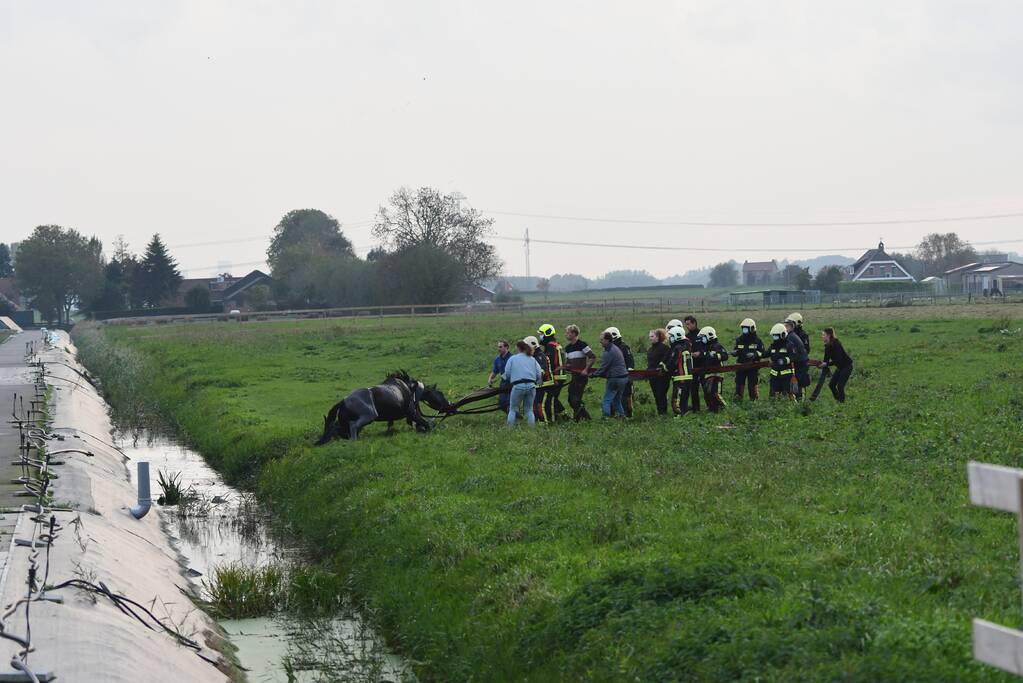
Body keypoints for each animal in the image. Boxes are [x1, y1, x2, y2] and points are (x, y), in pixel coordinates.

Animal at [315, 370, 450, 443]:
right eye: (440, 393)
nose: (449, 405)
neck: (410, 388)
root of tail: (343, 401)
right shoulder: (411, 413)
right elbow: (425, 423)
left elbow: (392, 425)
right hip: (369, 416)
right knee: (352, 427)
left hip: (344, 422)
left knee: (336, 428)